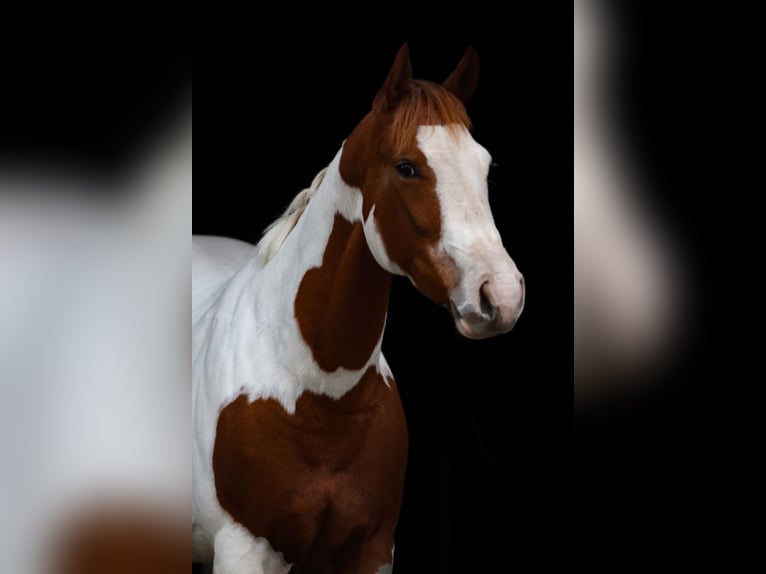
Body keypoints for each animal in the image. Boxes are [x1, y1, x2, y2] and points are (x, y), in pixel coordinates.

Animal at [192, 44, 525, 573]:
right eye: (407, 167)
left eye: (486, 166)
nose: (503, 294)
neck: (319, 398)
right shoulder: (242, 547)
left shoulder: (371, 547)